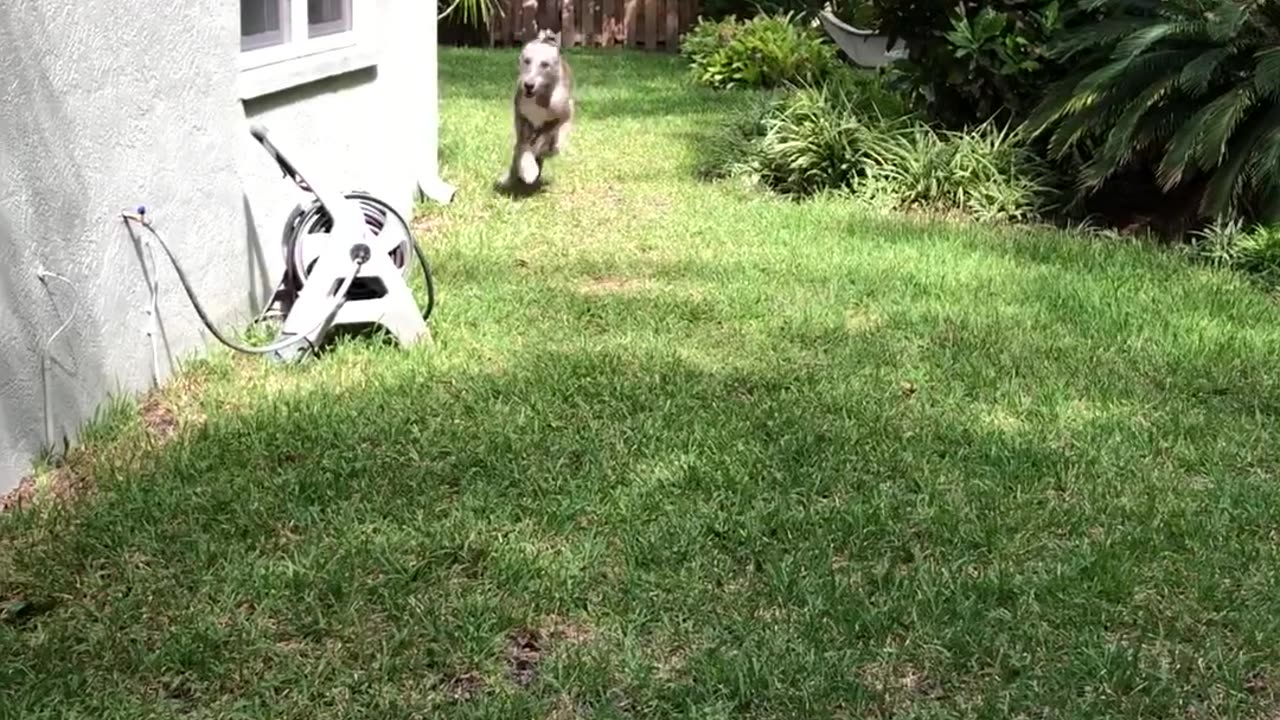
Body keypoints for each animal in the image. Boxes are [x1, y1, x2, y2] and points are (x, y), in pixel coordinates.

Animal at [501, 29, 578, 189]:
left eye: (545, 64)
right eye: (527, 61)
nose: (528, 85)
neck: (540, 96)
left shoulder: (565, 113)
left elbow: (553, 137)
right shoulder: (522, 118)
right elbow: (523, 147)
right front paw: (528, 168)